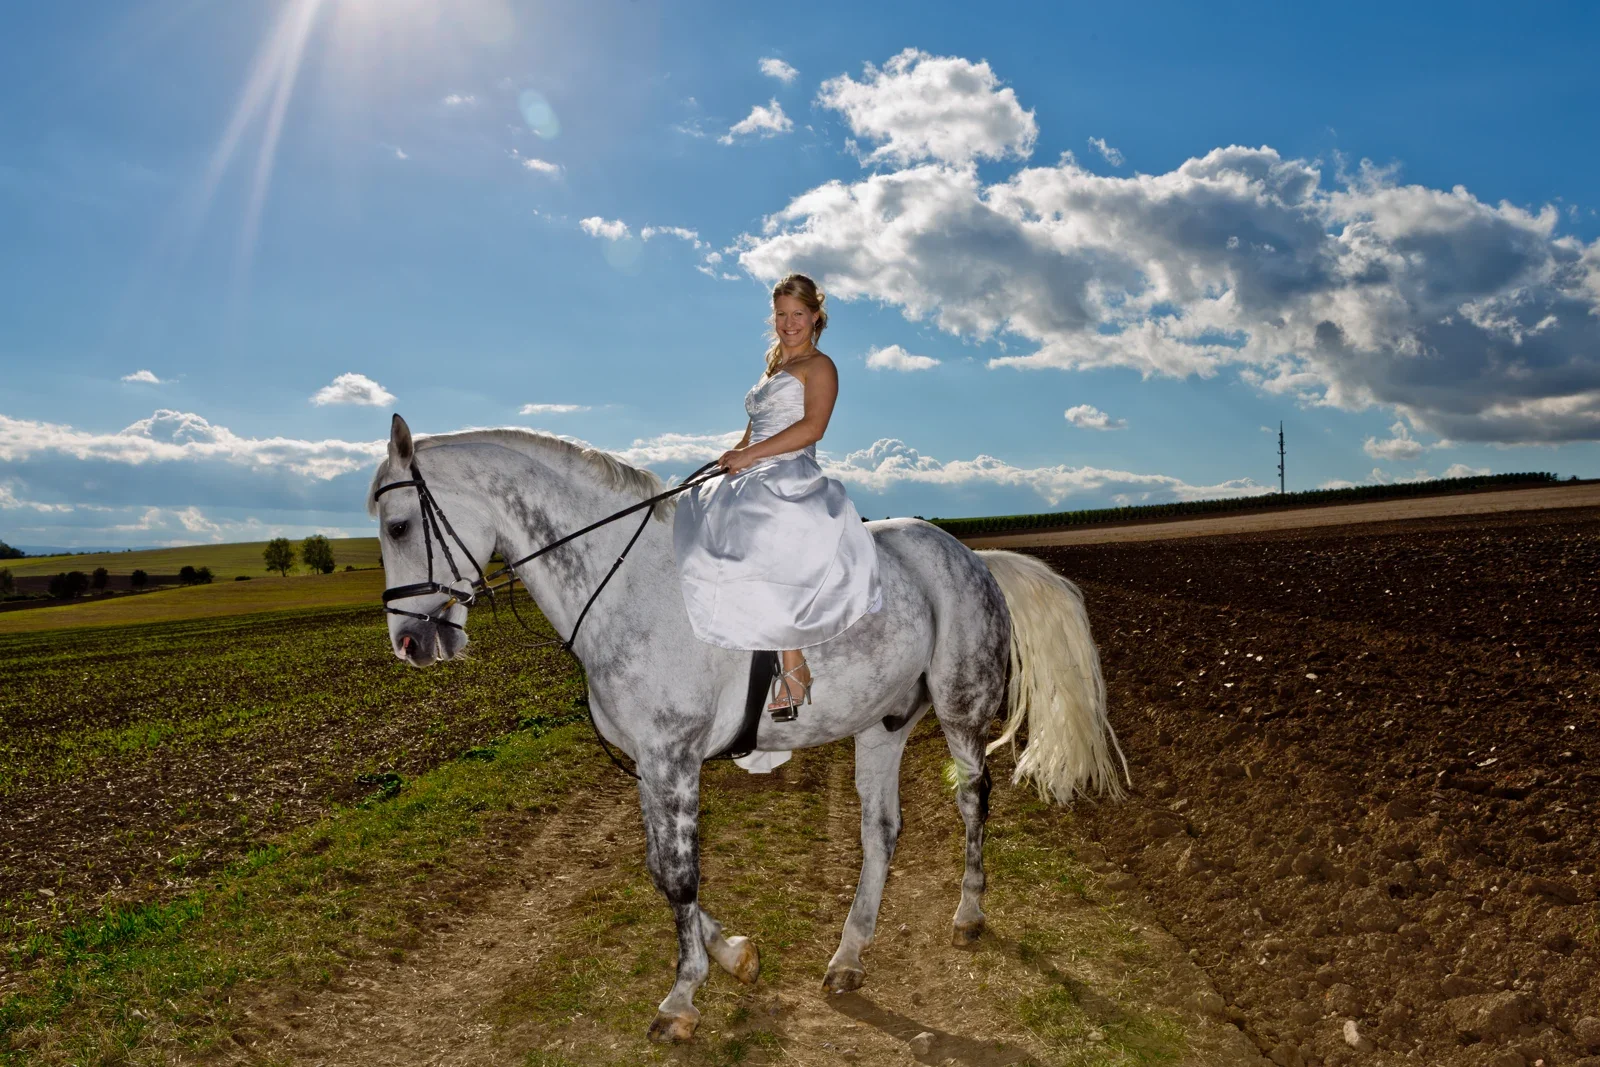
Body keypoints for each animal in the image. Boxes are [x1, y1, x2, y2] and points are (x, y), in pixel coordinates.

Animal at [368, 414, 1126, 1044]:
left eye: (399, 526)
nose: (409, 643)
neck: (628, 585)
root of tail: (972, 555)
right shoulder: (649, 762)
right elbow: (662, 871)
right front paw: (733, 954)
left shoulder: (673, 757)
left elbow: (678, 876)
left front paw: (682, 997)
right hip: (881, 725)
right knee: (881, 830)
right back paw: (849, 954)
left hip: (960, 709)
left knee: (973, 797)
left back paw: (968, 915)